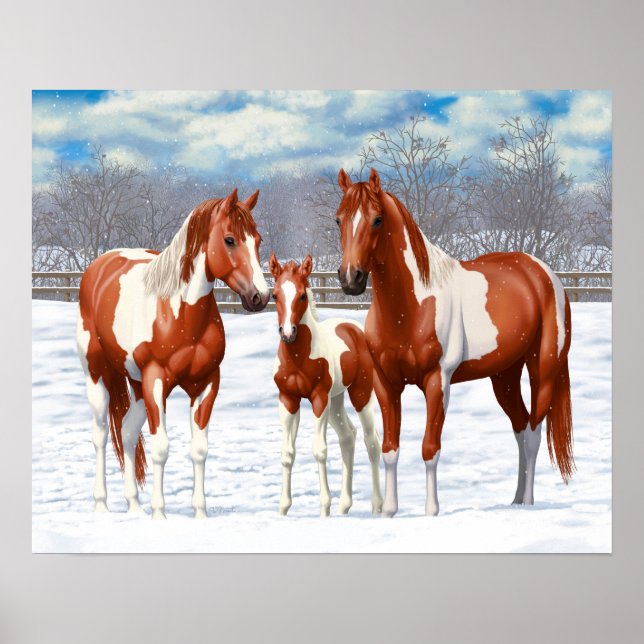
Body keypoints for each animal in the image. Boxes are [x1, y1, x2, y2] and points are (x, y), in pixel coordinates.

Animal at [76, 189, 270, 519]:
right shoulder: (156, 382)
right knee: (100, 434)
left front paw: (200, 513)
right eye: (230, 239)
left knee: (127, 432)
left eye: (257, 240)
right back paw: (102, 505)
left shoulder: (207, 383)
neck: (179, 314)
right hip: (98, 373)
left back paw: (134, 506)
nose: (261, 296)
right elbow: (161, 448)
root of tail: (98, 266)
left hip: (136, 385)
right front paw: (160, 514)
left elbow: (200, 449)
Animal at [269, 254, 384, 517]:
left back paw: (377, 507)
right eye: (275, 295)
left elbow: (319, 450)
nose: (287, 333)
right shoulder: (288, 400)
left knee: (372, 441)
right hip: (336, 401)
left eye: (302, 295)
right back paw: (344, 506)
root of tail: (354, 328)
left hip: (360, 394)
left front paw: (324, 508)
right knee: (348, 436)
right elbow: (287, 453)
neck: (299, 358)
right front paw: (282, 509)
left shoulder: (318, 398)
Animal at [334, 167, 574, 517]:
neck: (413, 304)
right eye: (338, 219)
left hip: (542, 371)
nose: (351, 278)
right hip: (504, 376)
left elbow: (430, 448)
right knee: (519, 427)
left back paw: (528, 502)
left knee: (532, 433)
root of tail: (543, 273)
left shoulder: (438, 382)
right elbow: (390, 447)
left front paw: (431, 511)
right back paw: (515, 499)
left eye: (377, 219)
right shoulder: (385, 383)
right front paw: (389, 511)